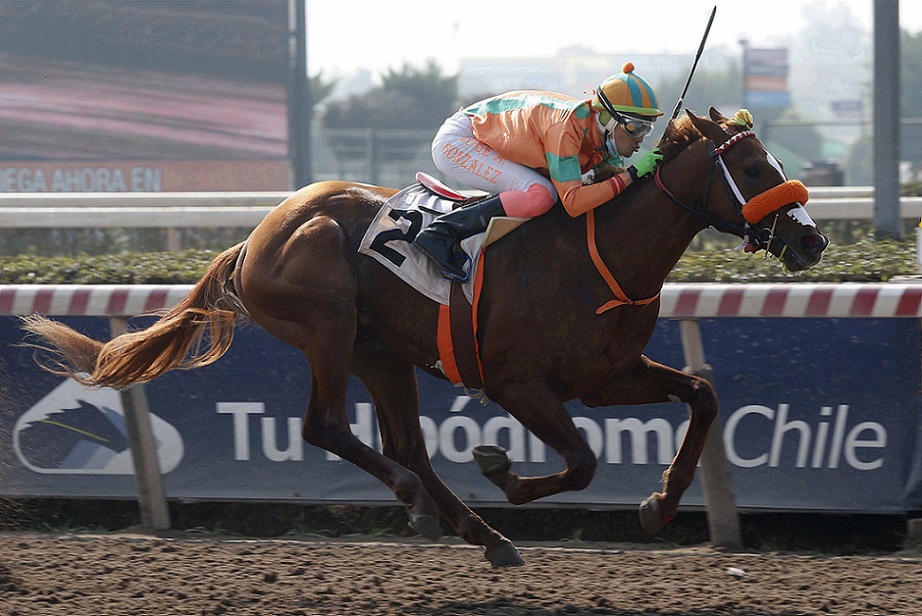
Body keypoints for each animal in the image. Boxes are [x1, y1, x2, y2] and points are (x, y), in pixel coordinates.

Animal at [22, 108, 828, 567]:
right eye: (752, 165)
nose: (813, 241)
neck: (599, 253)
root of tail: (256, 238)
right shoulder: (518, 383)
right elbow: (582, 462)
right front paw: (505, 471)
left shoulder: (605, 375)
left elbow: (700, 395)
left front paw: (661, 504)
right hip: (328, 323)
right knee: (329, 427)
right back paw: (428, 503)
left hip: (382, 353)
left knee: (405, 443)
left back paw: (485, 536)